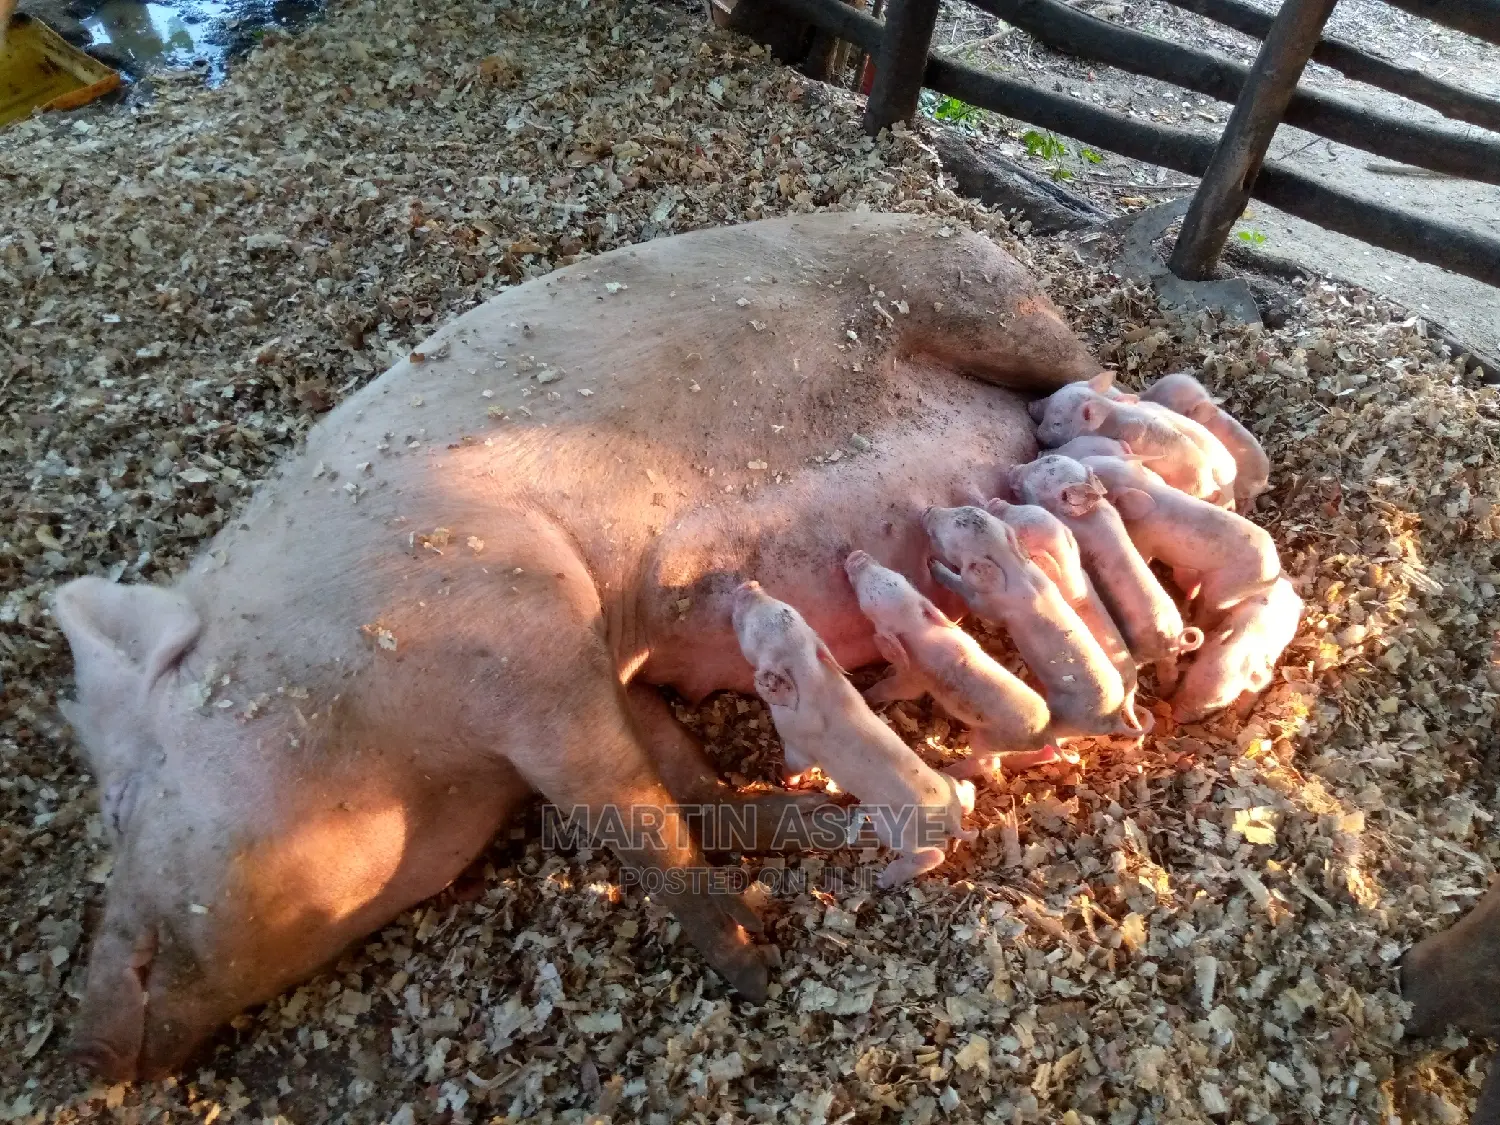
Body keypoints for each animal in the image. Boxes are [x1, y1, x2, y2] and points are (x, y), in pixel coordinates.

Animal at [731, 581, 975, 887]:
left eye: (752, 629)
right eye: (785, 607)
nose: (749, 584)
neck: (811, 677)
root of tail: (949, 820)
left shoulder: (798, 744)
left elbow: (796, 765)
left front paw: (787, 782)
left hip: (893, 827)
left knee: (932, 855)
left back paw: (885, 879)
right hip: (947, 786)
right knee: (965, 792)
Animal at [844, 550, 1055, 780]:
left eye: (866, 599)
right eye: (894, 576)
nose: (857, 554)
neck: (916, 628)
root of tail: (1044, 734)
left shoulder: (914, 679)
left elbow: (896, 689)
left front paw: (866, 694)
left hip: (988, 739)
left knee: (987, 763)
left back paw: (946, 772)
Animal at [919, 506, 1138, 740]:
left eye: (951, 529)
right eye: (960, 510)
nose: (929, 509)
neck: (1012, 566)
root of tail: (1114, 720)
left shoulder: (988, 605)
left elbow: (966, 592)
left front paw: (933, 565)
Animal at [1080, 455, 1280, 623]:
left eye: (1097, 478)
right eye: (1096, 458)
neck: (1141, 484)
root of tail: (1275, 571)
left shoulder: (1146, 539)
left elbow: (1144, 556)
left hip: (1229, 586)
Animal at [1170, 576, 1302, 722]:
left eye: (1219, 700)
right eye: (1189, 677)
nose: (1175, 715)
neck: (1240, 647)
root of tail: (1286, 584)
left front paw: (1241, 716)